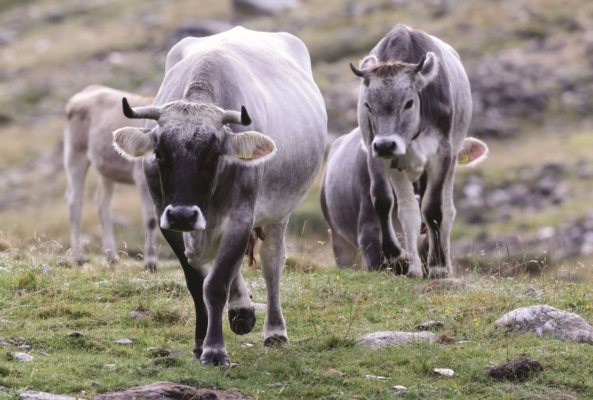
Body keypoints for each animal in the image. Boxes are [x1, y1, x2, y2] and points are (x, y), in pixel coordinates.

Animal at [64, 85, 158, 270]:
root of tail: (90, 88)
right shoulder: (142, 178)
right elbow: (151, 219)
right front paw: (150, 263)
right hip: (75, 153)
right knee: (75, 203)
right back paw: (78, 257)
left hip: (107, 170)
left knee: (103, 205)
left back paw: (111, 257)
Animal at [113, 27, 326, 366]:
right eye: (159, 153)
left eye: (213, 156)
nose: (183, 214)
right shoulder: (165, 218)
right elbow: (198, 282)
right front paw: (201, 342)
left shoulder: (240, 217)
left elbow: (216, 284)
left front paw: (214, 350)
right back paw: (241, 311)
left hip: (279, 210)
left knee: (272, 262)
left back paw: (274, 331)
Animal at [352, 24, 472, 278]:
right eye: (367, 105)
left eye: (408, 103)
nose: (386, 144)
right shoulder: (374, 152)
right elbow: (383, 200)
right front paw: (396, 256)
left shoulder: (442, 154)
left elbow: (434, 208)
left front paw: (437, 265)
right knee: (408, 212)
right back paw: (415, 267)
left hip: (454, 157)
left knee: (448, 211)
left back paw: (445, 266)